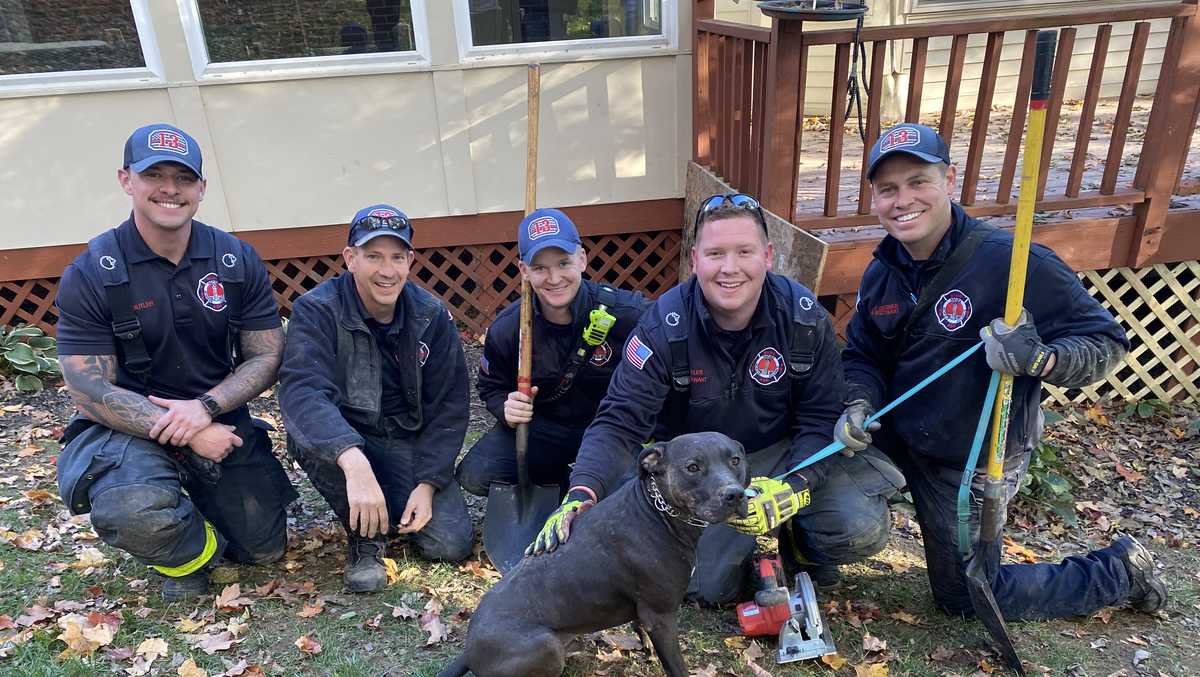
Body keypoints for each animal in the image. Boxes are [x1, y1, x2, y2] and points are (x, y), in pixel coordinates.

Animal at [436, 432, 744, 672]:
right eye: (692, 467)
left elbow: (640, 628)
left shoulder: (645, 611)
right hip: (546, 645)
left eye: (735, 460)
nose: (736, 495)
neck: (657, 512)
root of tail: (468, 651)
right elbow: (677, 666)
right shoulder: (662, 615)